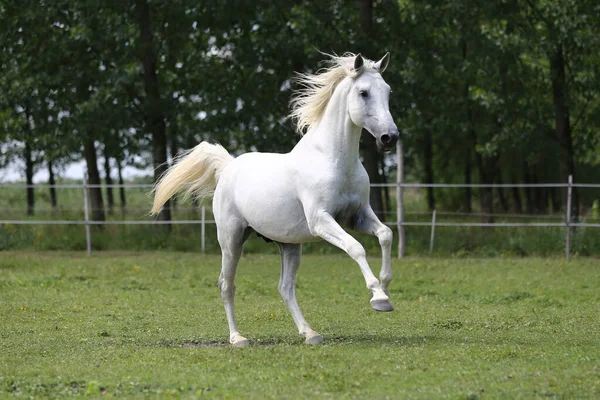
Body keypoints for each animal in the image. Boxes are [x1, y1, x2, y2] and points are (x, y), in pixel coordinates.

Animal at [152, 52, 400, 346]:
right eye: (363, 92)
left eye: (388, 91)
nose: (390, 138)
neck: (333, 160)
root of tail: (228, 166)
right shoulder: (321, 220)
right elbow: (356, 247)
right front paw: (378, 297)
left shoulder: (358, 215)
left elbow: (386, 234)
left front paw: (385, 289)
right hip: (231, 239)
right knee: (227, 285)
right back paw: (238, 338)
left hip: (289, 245)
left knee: (285, 288)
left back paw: (310, 333)